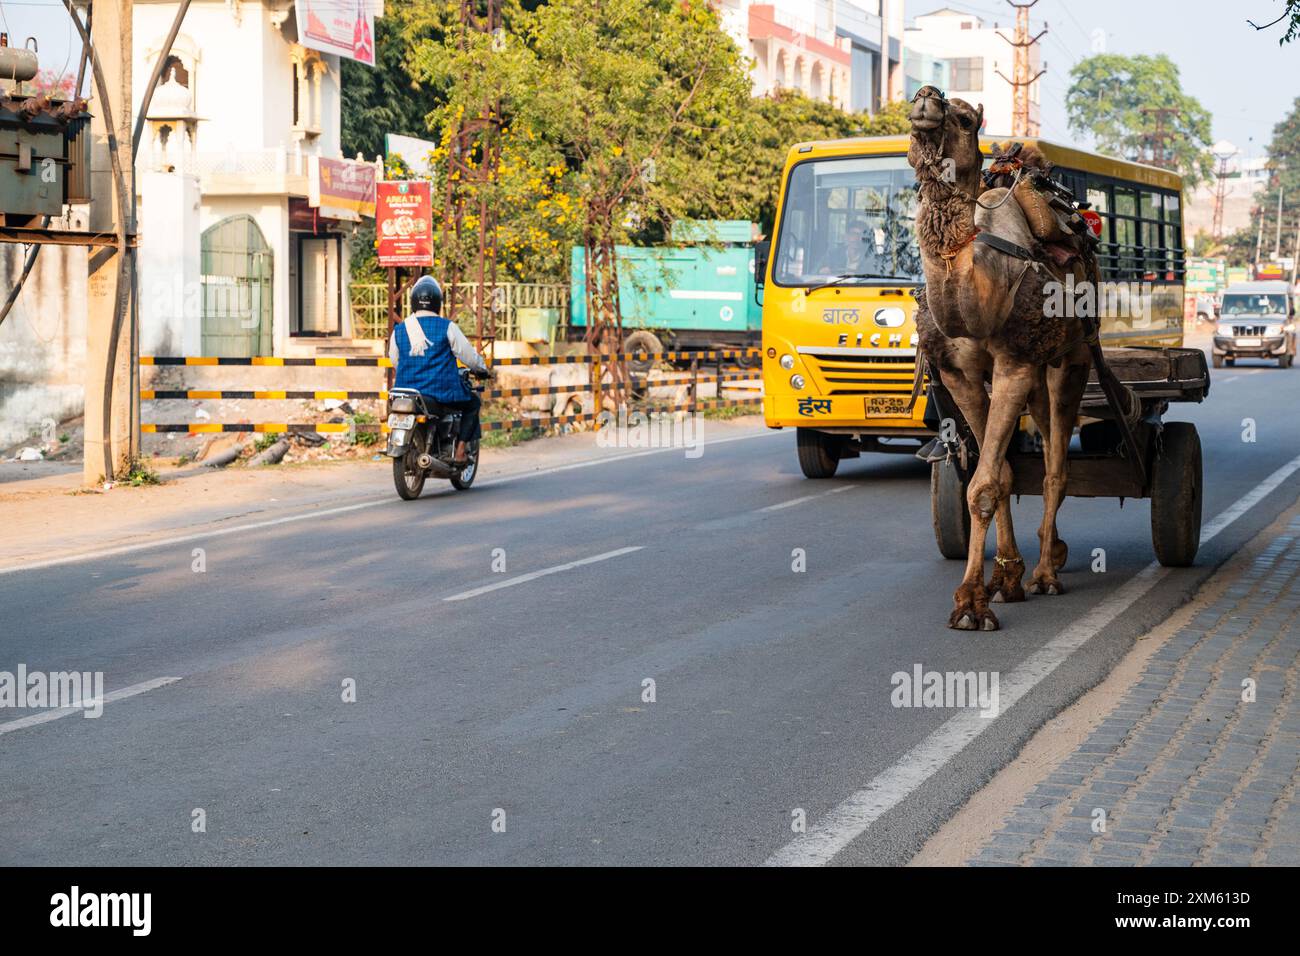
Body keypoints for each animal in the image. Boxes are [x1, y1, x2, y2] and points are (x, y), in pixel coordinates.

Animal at [904, 85, 1097, 632]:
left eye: (967, 120)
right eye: (912, 105)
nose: (926, 95)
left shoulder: (1014, 362)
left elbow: (985, 484)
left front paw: (971, 603)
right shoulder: (961, 374)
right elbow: (1001, 474)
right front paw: (1003, 577)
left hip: (1070, 357)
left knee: (1056, 465)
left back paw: (1047, 572)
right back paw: (1040, 560)